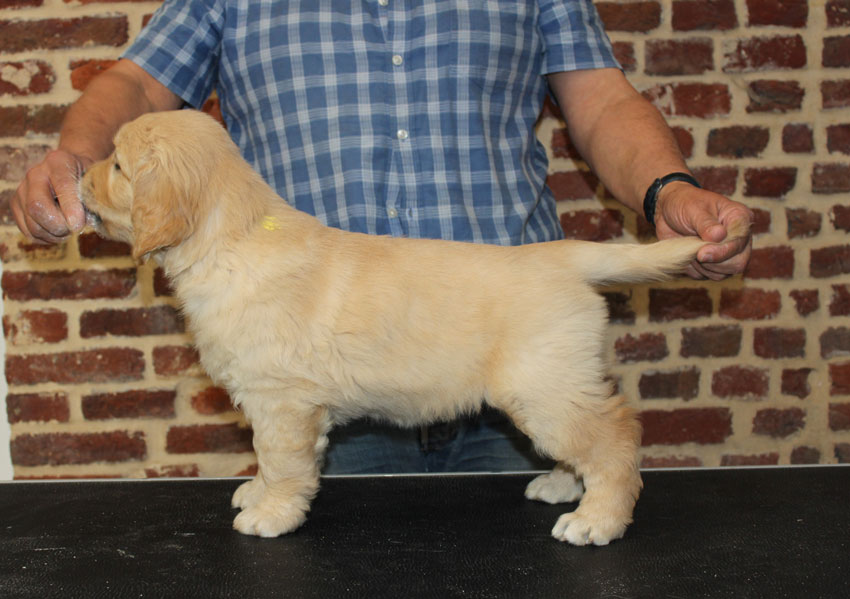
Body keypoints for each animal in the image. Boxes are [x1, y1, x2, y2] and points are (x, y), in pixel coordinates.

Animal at [81, 110, 716, 548]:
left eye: (116, 164)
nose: (78, 177)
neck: (230, 239)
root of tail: (564, 257)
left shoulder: (283, 401)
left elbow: (281, 460)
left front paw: (271, 513)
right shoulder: (275, 402)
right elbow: (266, 457)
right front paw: (258, 492)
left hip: (543, 387)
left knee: (615, 440)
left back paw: (596, 520)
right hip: (554, 386)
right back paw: (562, 484)